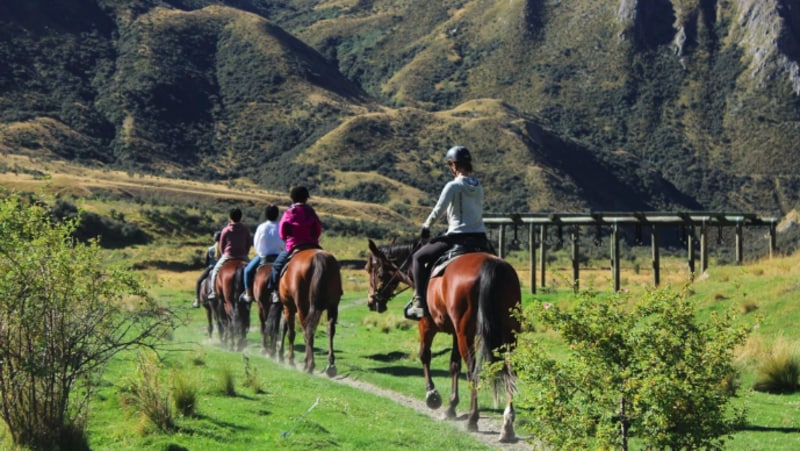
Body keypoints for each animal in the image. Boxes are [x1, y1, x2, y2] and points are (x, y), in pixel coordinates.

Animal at [366, 242, 520, 444]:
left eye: (371, 270)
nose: (371, 301)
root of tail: (491, 264)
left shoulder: (426, 325)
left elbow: (424, 355)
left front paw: (432, 395)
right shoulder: (455, 333)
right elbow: (454, 365)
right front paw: (451, 407)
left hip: (466, 333)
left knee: (473, 371)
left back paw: (472, 419)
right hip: (508, 333)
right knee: (510, 371)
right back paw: (507, 424)